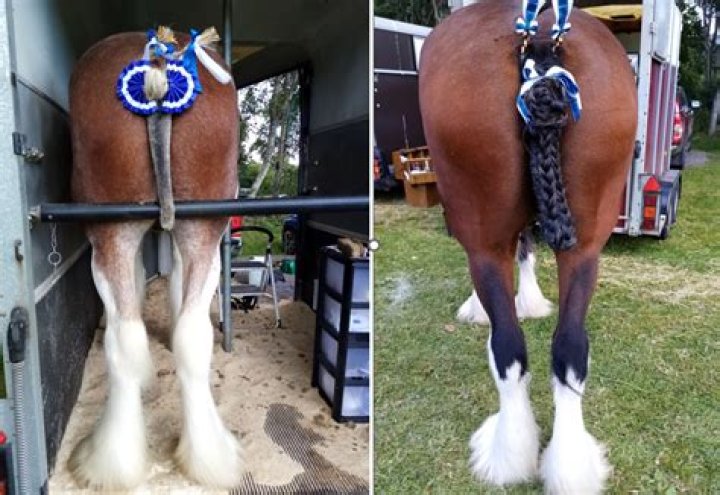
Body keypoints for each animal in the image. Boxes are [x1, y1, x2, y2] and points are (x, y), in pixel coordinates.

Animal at [419, 2, 637, 493]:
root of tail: (537, 46)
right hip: (585, 244)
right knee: (570, 349)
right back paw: (571, 468)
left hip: (483, 234)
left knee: (508, 349)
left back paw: (505, 459)